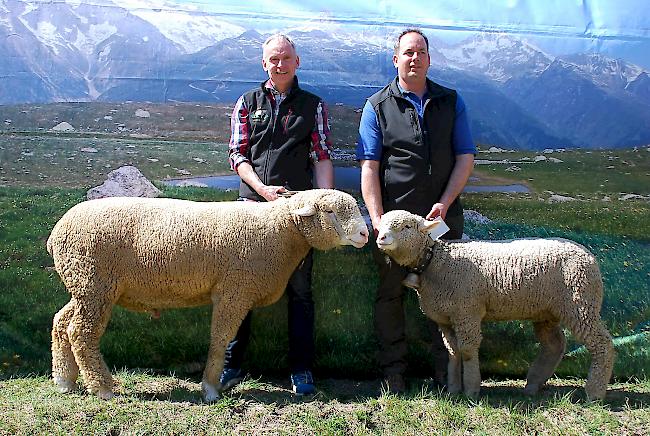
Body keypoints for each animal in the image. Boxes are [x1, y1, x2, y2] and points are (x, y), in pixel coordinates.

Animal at [47, 188, 368, 402]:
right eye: (330, 212)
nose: (365, 234)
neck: (281, 229)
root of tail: (55, 233)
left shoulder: (239, 290)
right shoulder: (233, 290)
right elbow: (221, 338)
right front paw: (211, 388)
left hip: (84, 286)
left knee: (61, 323)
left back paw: (64, 380)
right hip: (94, 284)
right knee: (81, 332)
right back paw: (102, 388)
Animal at [374, 209, 612, 400]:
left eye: (406, 226)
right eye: (381, 224)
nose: (382, 237)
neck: (435, 261)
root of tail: (590, 255)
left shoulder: (467, 311)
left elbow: (468, 350)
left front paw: (471, 389)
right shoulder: (446, 318)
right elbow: (453, 352)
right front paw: (453, 389)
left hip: (581, 303)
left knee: (602, 343)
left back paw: (595, 392)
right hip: (546, 311)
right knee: (555, 345)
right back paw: (533, 385)